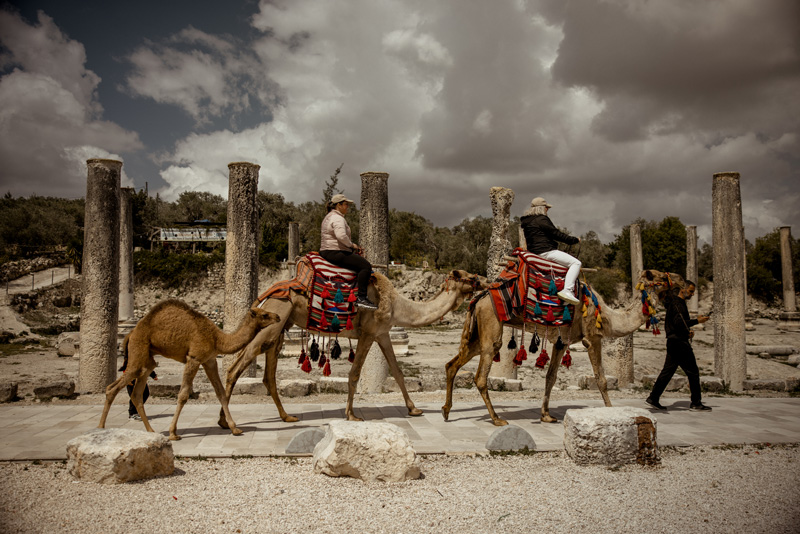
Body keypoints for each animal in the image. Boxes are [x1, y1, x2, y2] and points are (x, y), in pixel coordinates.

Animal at [97, 300, 282, 442]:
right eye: (264, 315)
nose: (278, 316)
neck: (217, 338)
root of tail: (131, 333)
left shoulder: (209, 360)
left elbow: (221, 393)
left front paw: (235, 429)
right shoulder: (194, 358)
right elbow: (183, 395)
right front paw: (173, 433)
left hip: (147, 361)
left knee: (136, 394)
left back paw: (151, 431)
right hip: (138, 352)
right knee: (112, 388)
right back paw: (100, 428)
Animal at [216, 270, 484, 430]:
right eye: (469, 278)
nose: (482, 280)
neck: (398, 305)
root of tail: (266, 295)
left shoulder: (383, 333)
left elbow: (397, 371)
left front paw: (414, 409)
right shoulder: (369, 332)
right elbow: (354, 373)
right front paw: (351, 415)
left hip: (280, 325)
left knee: (268, 375)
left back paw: (286, 417)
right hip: (274, 317)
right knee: (236, 366)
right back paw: (228, 423)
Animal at [438, 270, 680, 430]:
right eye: (662, 277)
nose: (685, 283)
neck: (608, 316)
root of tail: (478, 299)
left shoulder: (562, 342)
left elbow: (551, 376)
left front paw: (546, 416)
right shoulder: (592, 337)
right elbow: (601, 379)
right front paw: (611, 411)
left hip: (478, 335)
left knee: (452, 364)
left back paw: (447, 411)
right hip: (491, 328)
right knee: (480, 376)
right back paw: (497, 418)